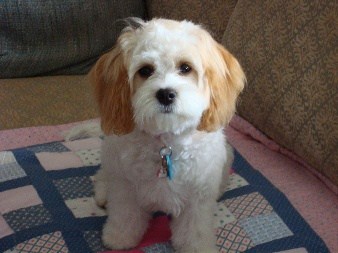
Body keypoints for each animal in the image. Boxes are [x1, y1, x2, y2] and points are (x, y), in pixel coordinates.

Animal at [90, 18, 246, 253]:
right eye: (145, 70)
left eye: (185, 68)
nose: (165, 94)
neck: (166, 143)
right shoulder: (125, 186)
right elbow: (125, 215)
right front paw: (119, 237)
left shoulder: (197, 197)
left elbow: (194, 230)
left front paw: (197, 247)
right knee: (103, 175)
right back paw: (102, 193)